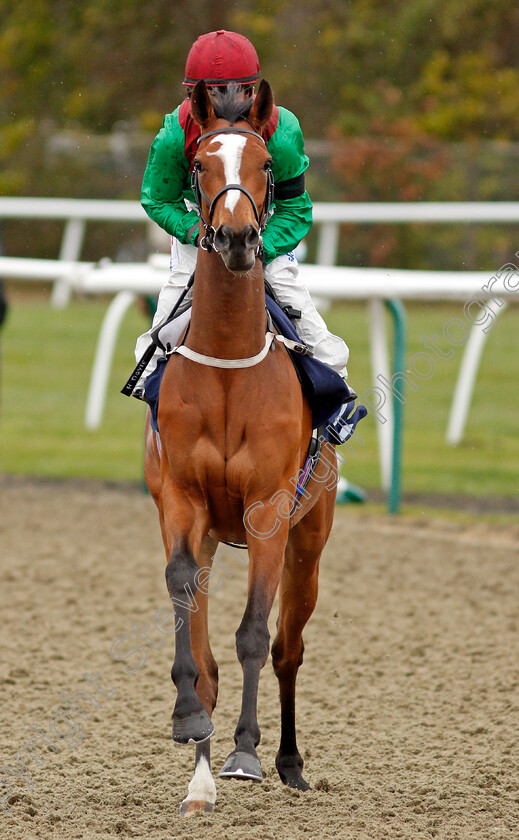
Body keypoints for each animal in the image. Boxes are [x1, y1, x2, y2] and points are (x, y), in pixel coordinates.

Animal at [145, 79, 342, 812]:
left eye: (263, 164)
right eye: (200, 164)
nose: (234, 236)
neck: (229, 367)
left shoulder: (267, 513)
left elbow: (255, 636)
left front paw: (245, 754)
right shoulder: (181, 502)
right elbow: (190, 622)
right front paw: (192, 729)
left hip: (309, 539)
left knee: (289, 649)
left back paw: (288, 761)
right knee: (207, 653)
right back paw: (200, 776)